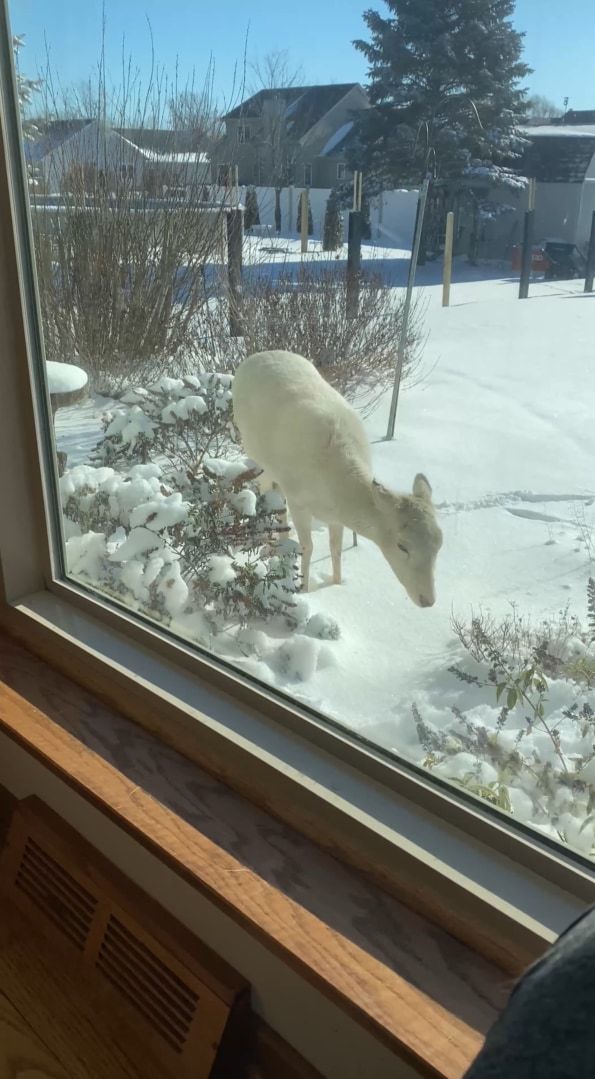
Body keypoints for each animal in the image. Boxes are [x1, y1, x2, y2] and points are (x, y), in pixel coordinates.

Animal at [233, 353, 442, 608]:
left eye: (440, 543)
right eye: (402, 545)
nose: (427, 600)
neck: (335, 492)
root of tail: (252, 358)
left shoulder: (336, 517)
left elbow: (336, 549)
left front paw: (337, 583)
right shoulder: (299, 500)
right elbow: (307, 547)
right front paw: (303, 590)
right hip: (256, 453)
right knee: (271, 493)